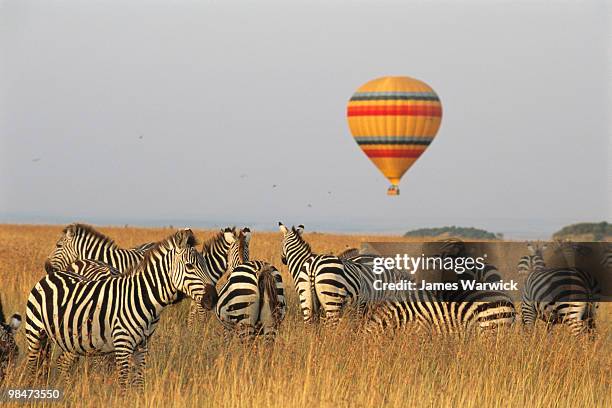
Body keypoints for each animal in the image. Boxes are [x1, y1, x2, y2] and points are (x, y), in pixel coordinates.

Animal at [25, 228, 219, 390]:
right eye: (190, 266)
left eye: (205, 264)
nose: (213, 298)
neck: (143, 297)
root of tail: (52, 275)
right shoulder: (122, 345)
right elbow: (123, 383)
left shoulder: (142, 346)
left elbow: (139, 381)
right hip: (35, 333)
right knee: (32, 366)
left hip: (71, 338)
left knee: (61, 363)